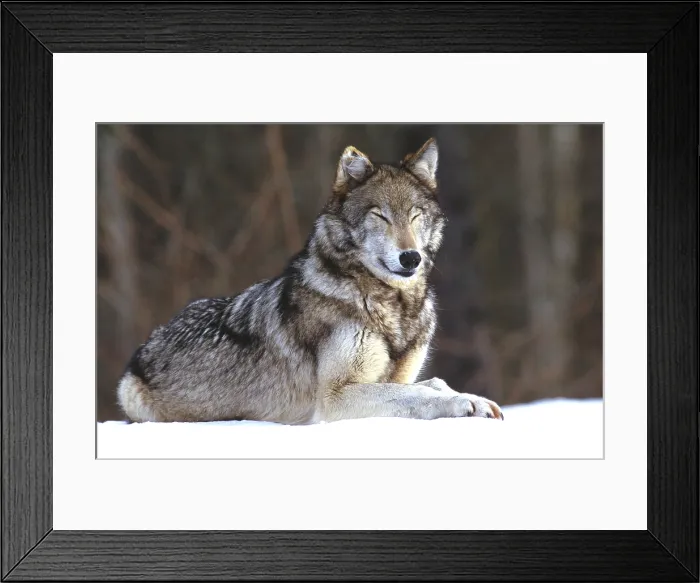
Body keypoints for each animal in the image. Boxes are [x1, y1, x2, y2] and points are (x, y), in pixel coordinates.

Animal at [117, 138, 504, 424]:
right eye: (379, 216)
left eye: (415, 215)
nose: (411, 258)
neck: (390, 304)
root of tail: (145, 346)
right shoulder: (335, 397)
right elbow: (418, 393)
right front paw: (462, 403)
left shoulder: (398, 375)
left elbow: (434, 381)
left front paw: (475, 399)